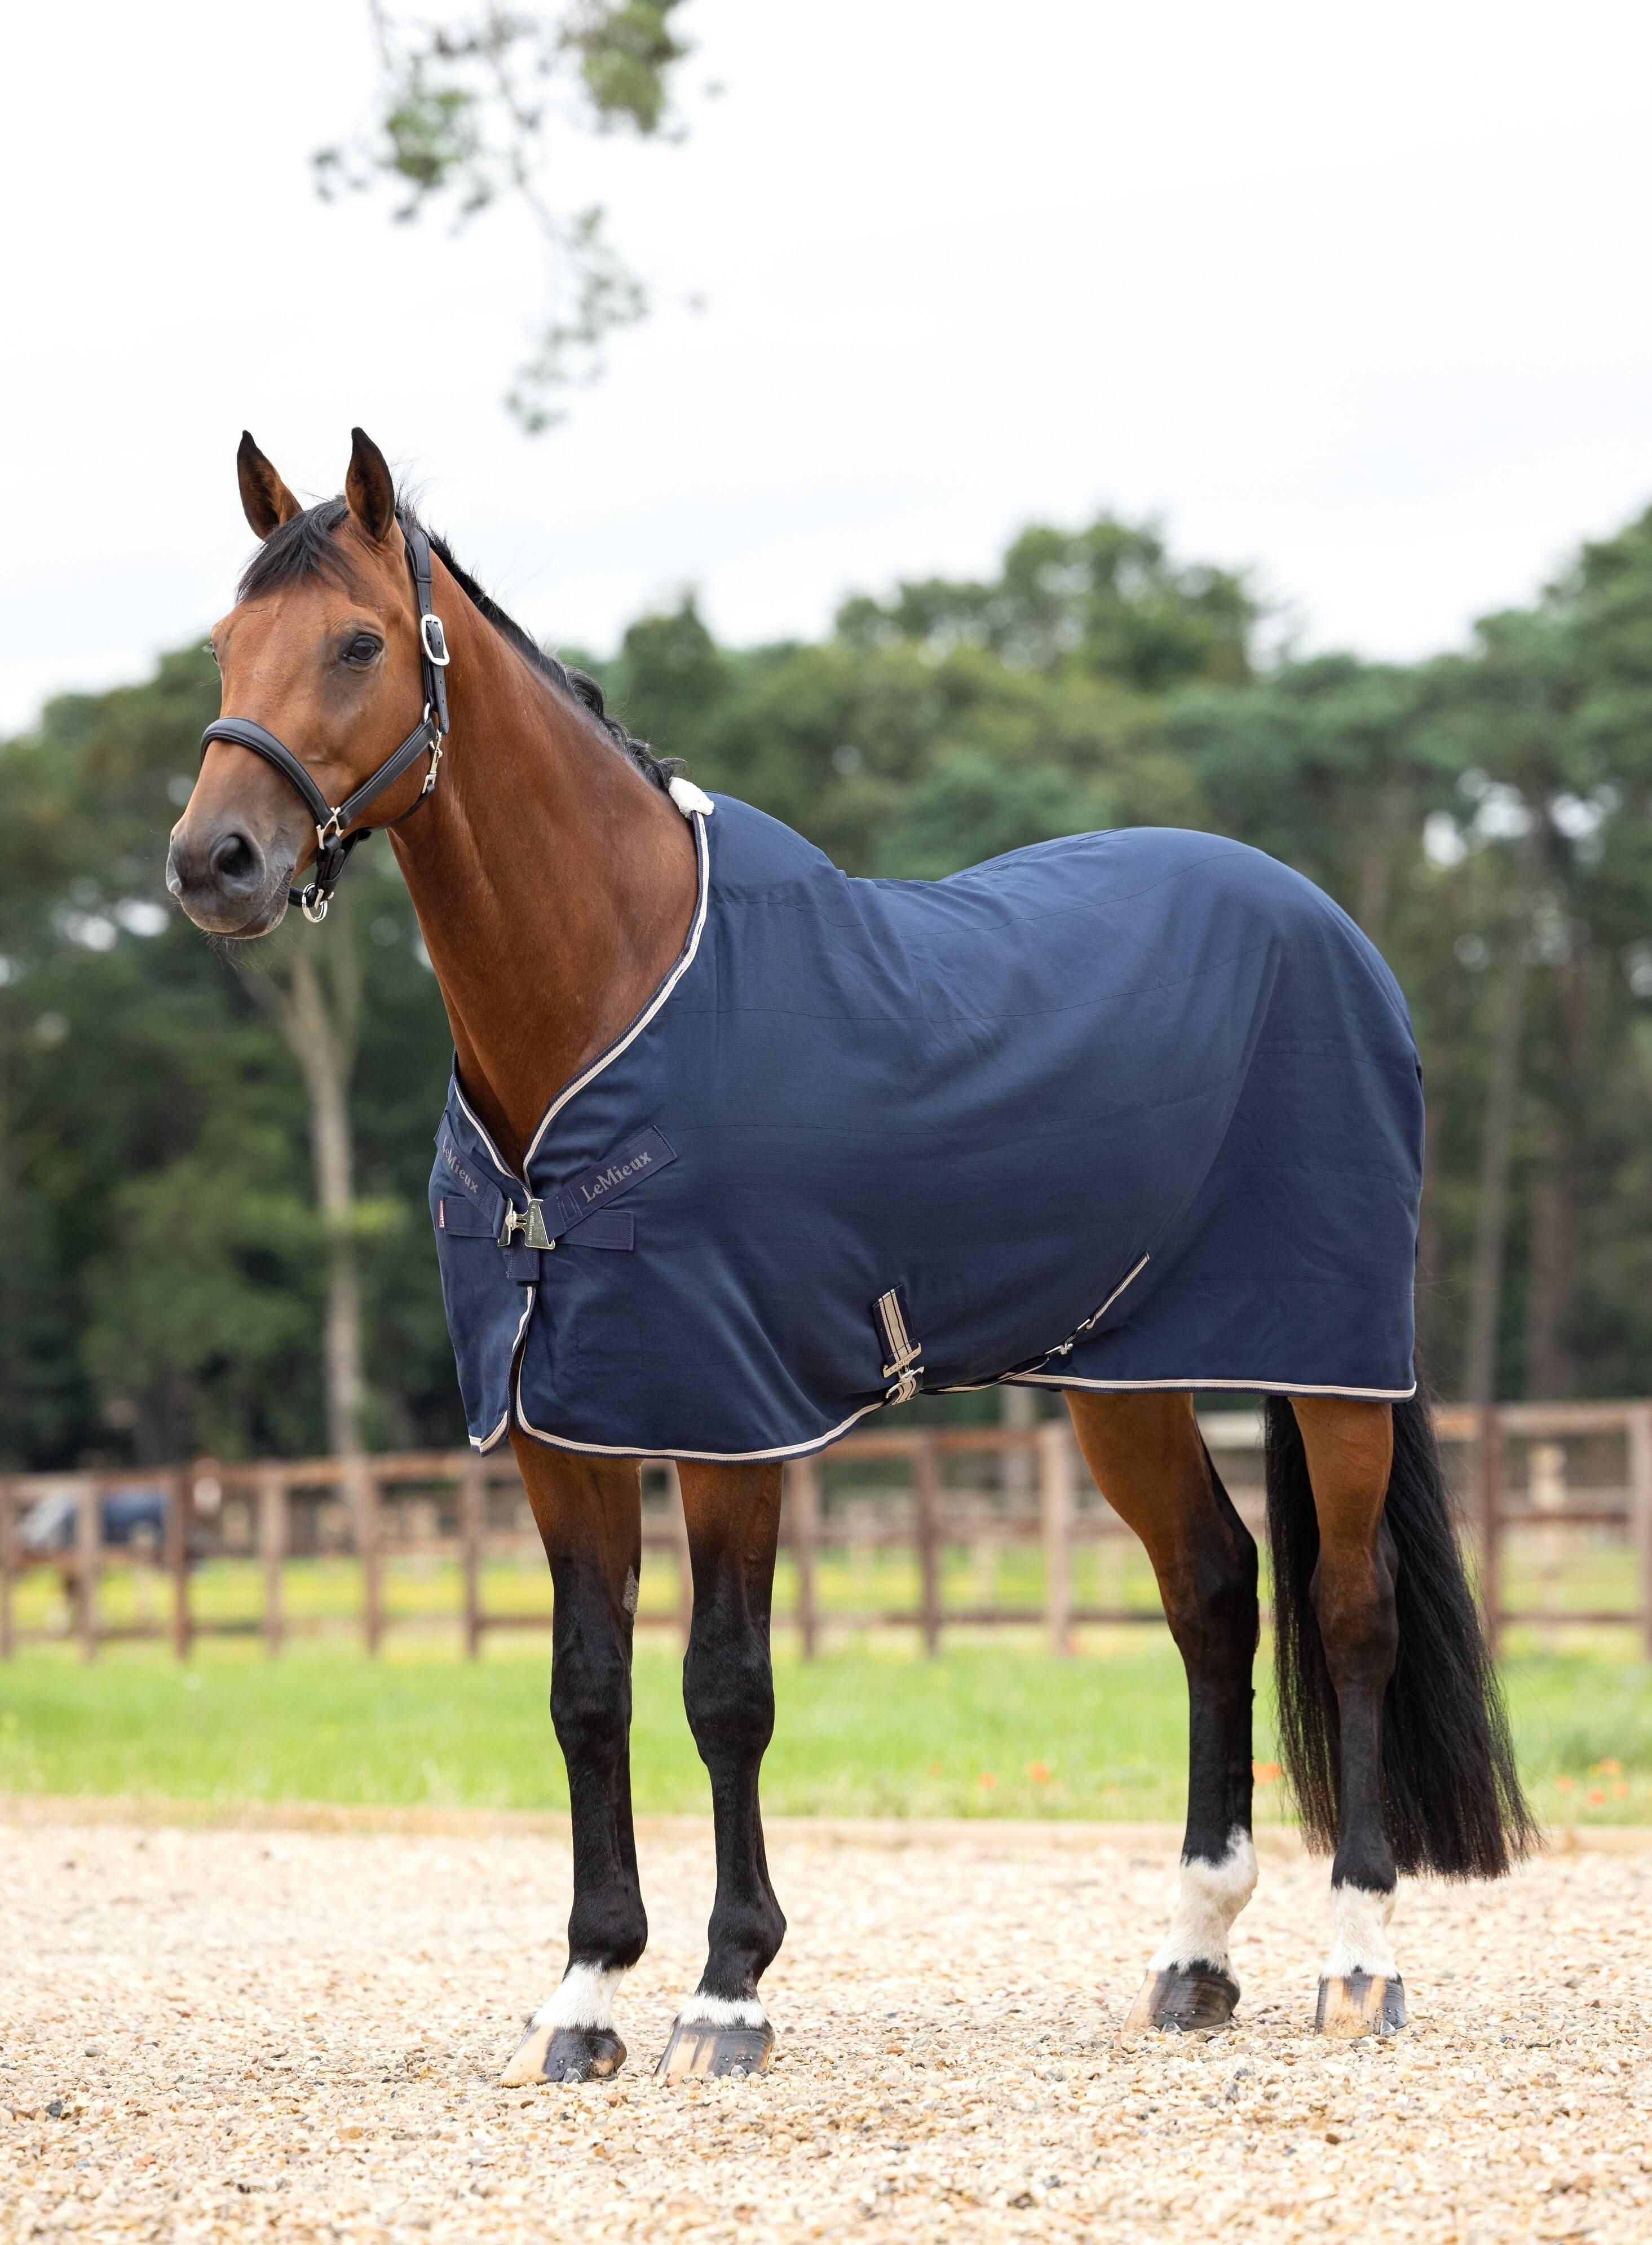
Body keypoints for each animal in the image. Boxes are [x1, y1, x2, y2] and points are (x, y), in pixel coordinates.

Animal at [169, 428, 1534, 2083]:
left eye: (360, 642)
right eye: (224, 643)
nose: (215, 860)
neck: (608, 995)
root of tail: (1325, 923)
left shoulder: (728, 1416)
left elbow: (724, 1687)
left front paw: (725, 1990)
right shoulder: (562, 1424)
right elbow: (585, 1691)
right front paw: (584, 1992)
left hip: (1328, 1362)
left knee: (1348, 1607)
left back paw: (1356, 1958)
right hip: (1123, 1376)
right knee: (1213, 1590)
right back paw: (1194, 1954)